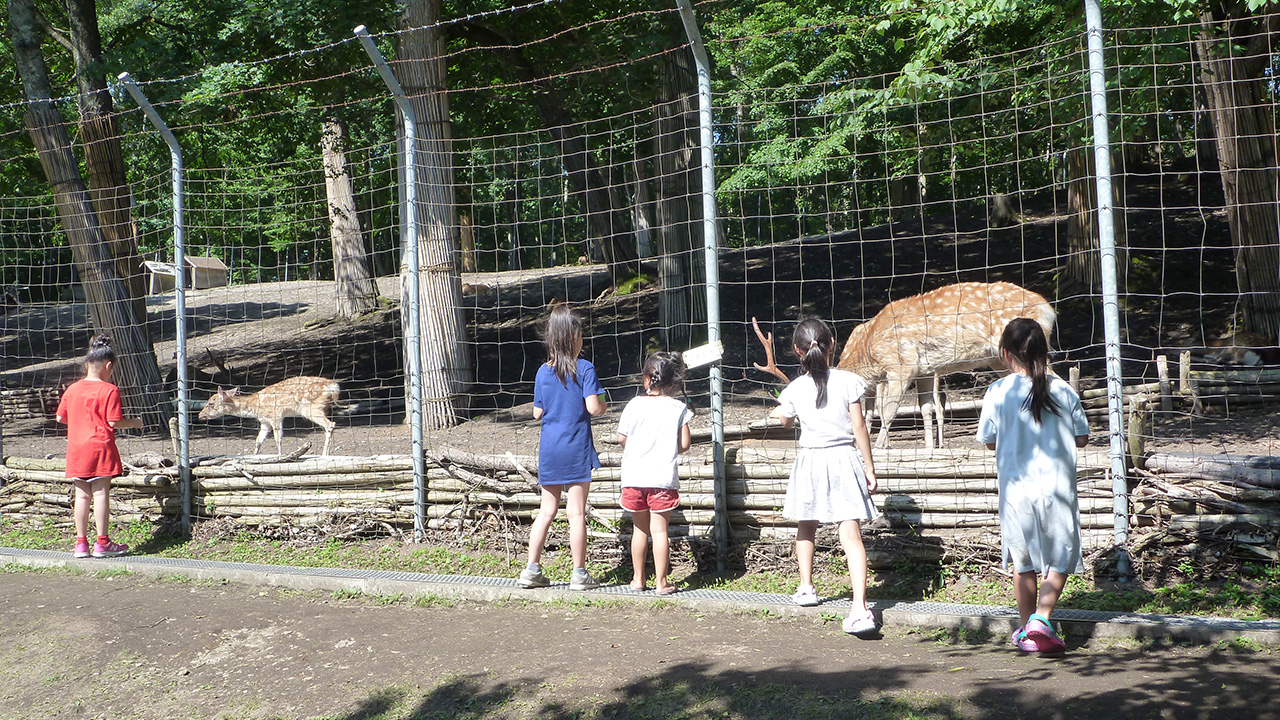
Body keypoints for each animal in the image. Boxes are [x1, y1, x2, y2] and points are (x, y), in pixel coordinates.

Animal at [197, 376, 343, 453]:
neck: (256, 406)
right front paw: (254, 456)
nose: (199, 415)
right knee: (329, 425)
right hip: (322, 407)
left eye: (210, 403)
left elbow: (277, 439)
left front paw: (280, 456)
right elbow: (258, 440)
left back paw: (324, 455)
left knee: (330, 424)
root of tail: (333, 387)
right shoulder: (265, 422)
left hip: (311, 408)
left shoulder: (275, 416)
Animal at [834, 281, 1054, 445]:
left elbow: (888, 411)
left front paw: (880, 449)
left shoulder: (902, 364)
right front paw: (929, 451)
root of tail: (1047, 308)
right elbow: (924, 407)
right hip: (998, 360)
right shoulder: (924, 370)